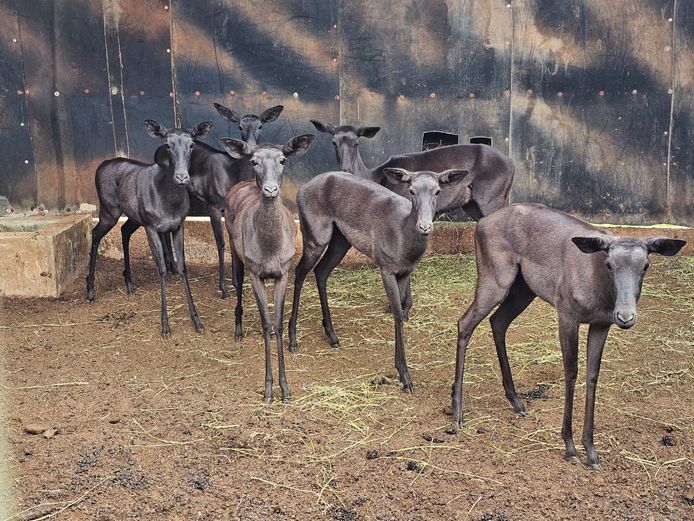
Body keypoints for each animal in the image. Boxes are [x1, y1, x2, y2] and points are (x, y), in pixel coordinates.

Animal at [87, 120, 210, 337]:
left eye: (192, 144)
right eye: (168, 144)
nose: (181, 177)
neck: (169, 202)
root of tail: (100, 166)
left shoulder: (178, 225)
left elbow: (182, 267)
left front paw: (197, 321)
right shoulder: (152, 226)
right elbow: (161, 268)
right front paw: (165, 325)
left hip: (135, 217)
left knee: (124, 230)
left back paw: (129, 283)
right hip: (109, 209)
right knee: (95, 234)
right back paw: (90, 289)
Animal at [220, 134, 314, 403]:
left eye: (283, 159)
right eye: (254, 161)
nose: (271, 190)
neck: (270, 250)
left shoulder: (284, 272)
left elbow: (278, 323)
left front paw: (286, 389)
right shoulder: (256, 273)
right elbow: (265, 323)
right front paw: (269, 389)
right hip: (234, 246)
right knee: (236, 282)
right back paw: (238, 329)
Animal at [451, 203, 686, 469]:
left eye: (645, 265)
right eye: (609, 264)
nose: (625, 316)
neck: (598, 290)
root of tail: (481, 223)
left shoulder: (601, 324)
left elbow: (592, 375)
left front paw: (591, 451)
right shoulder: (567, 314)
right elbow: (571, 372)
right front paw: (570, 446)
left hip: (523, 288)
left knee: (498, 322)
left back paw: (516, 402)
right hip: (495, 280)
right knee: (465, 323)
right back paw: (457, 413)